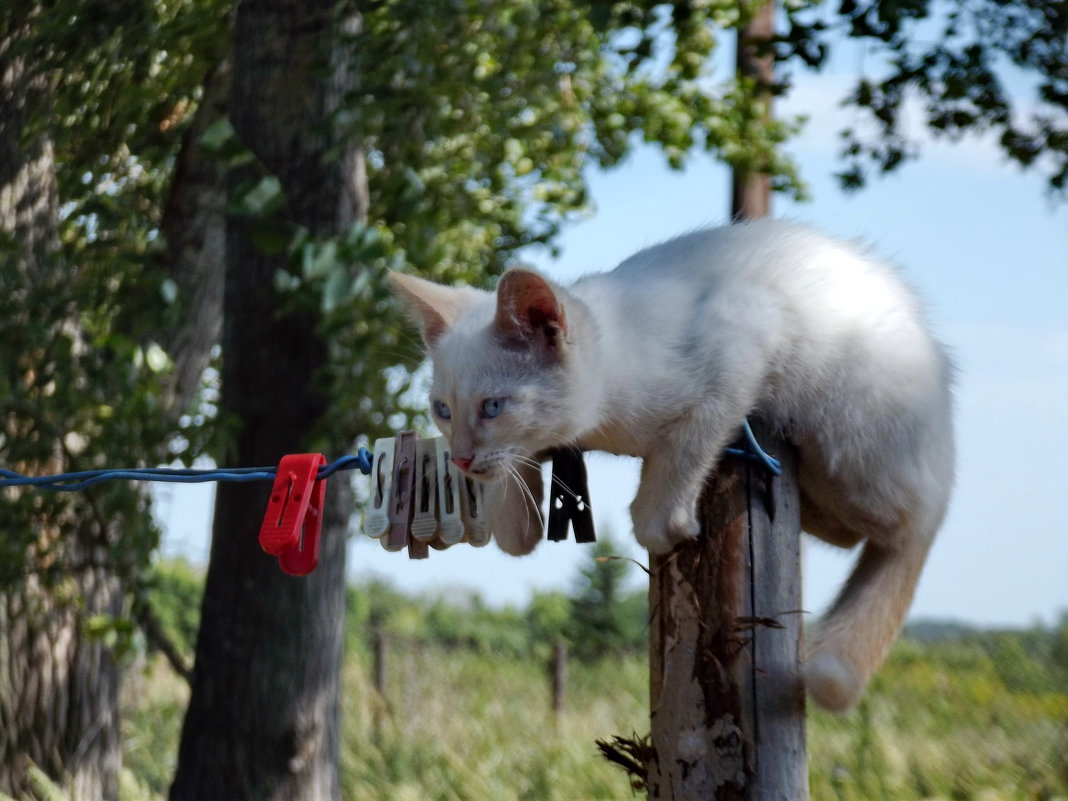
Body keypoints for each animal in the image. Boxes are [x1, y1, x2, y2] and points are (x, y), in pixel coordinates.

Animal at [390, 217, 952, 709]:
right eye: (442, 410)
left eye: (492, 406)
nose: (462, 457)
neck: (600, 421)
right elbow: (518, 488)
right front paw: (515, 514)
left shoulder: (745, 339)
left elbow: (688, 442)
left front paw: (661, 519)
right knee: (848, 534)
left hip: (851, 432)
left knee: (899, 530)